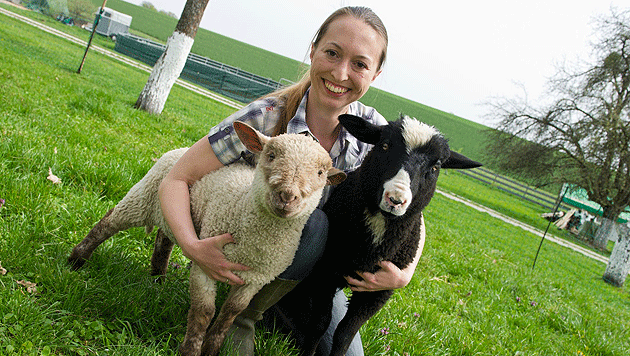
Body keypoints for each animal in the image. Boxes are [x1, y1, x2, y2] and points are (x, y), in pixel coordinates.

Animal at [68, 122, 346, 356]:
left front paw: (212, 348)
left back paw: (158, 280)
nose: (287, 196)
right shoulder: (205, 261)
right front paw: (191, 350)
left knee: (163, 240)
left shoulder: (256, 279)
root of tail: (181, 148)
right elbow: (204, 311)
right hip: (143, 196)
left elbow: (229, 313)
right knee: (108, 223)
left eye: (320, 173)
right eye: (271, 155)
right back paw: (76, 261)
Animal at [278, 114, 482, 356]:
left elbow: (345, 334)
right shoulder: (325, 271)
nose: (395, 199)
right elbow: (320, 323)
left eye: (435, 166)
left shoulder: (379, 292)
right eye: (384, 146)